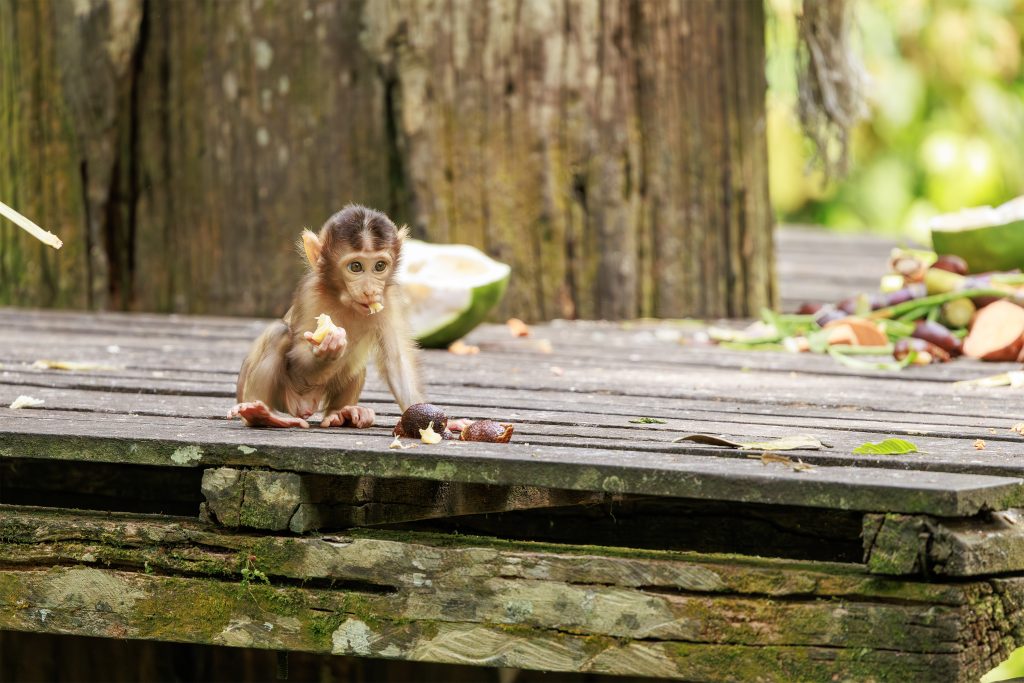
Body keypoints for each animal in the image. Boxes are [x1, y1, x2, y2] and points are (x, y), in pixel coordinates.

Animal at [228, 204, 424, 428]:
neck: (344, 300)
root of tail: (303, 407)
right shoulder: (310, 293)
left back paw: (341, 413)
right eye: (356, 266)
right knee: (278, 333)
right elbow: (298, 356)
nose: (370, 291)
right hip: (280, 396)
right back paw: (261, 413)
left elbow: (396, 362)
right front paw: (326, 351)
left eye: (379, 266)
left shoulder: (389, 299)